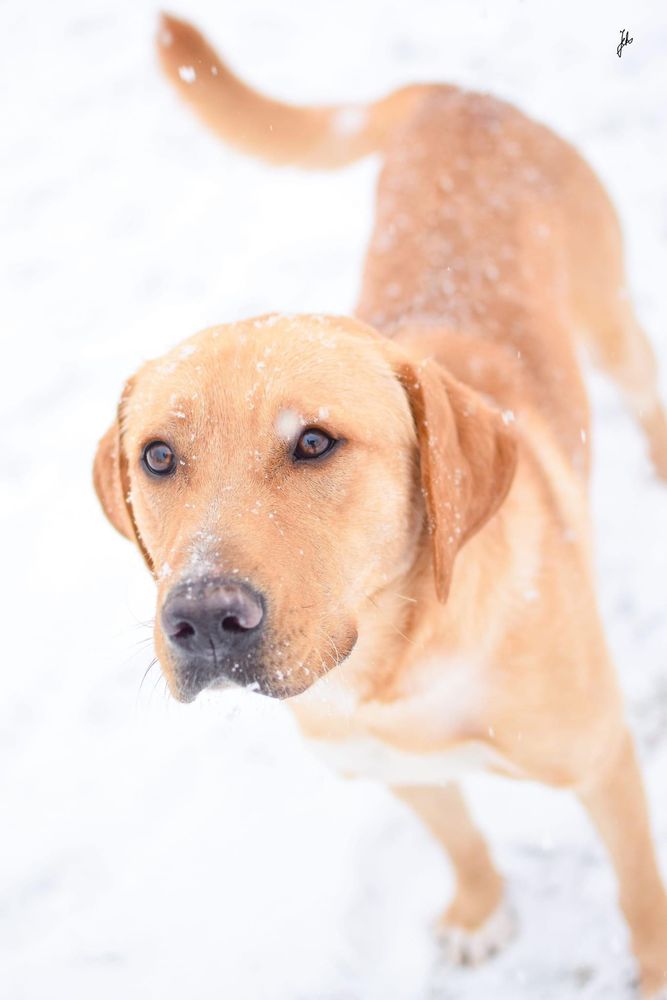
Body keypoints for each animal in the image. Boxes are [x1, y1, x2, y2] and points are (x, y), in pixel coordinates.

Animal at [92, 11, 667, 996]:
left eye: (315, 443)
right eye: (157, 457)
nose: (202, 619)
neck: (395, 667)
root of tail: (457, 95)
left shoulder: (603, 761)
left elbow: (637, 893)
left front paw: (656, 966)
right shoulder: (392, 768)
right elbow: (460, 839)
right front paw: (479, 909)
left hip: (610, 316)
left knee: (644, 386)